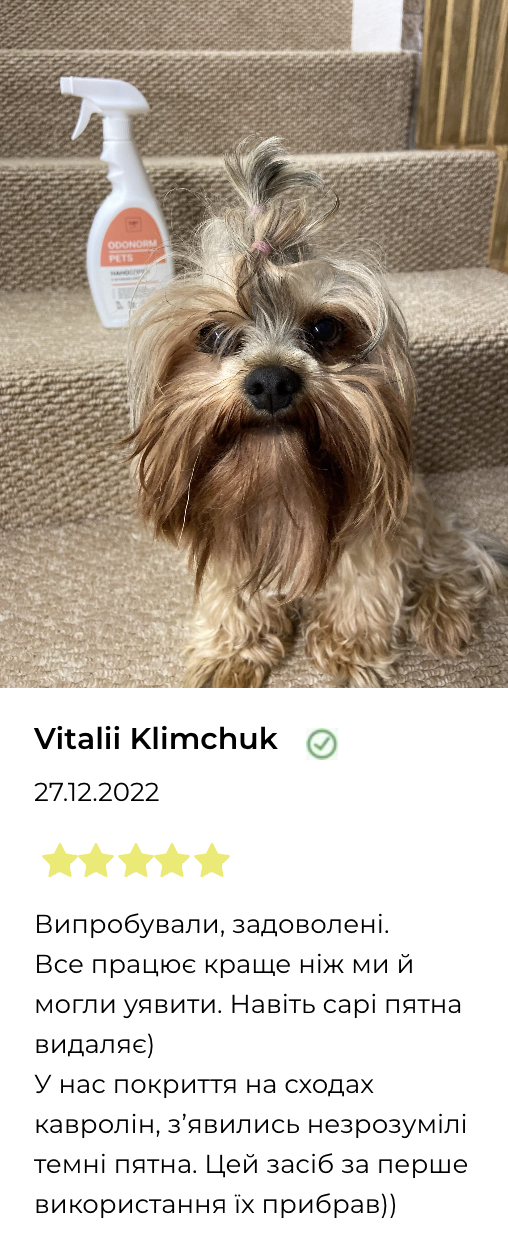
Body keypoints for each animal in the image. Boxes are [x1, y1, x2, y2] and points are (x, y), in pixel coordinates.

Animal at [128, 137, 507, 687]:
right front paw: (231, 649)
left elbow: (365, 583)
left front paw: (350, 645)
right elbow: (230, 594)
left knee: (450, 553)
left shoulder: (373, 528)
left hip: (416, 509)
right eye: (213, 334)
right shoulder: (223, 530)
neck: (277, 488)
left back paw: (443, 610)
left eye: (324, 329)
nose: (270, 381)